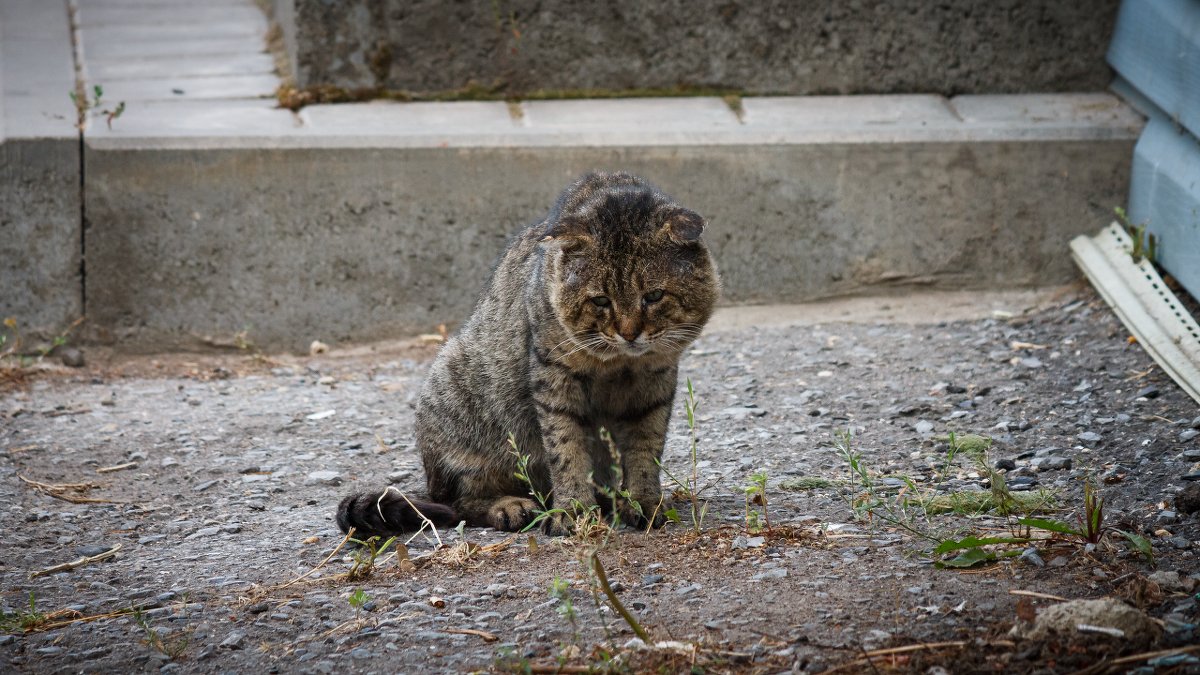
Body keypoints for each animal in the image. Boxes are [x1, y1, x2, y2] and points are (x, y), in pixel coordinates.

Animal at [336, 170, 720, 533]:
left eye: (653, 296)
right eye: (600, 301)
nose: (629, 334)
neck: (619, 365)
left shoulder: (655, 385)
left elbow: (645, 448)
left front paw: (642, 501)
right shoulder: (554, 378)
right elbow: (565, 448)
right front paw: (573, 510)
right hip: (454, 396)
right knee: (459, 503)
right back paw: (511, 506)